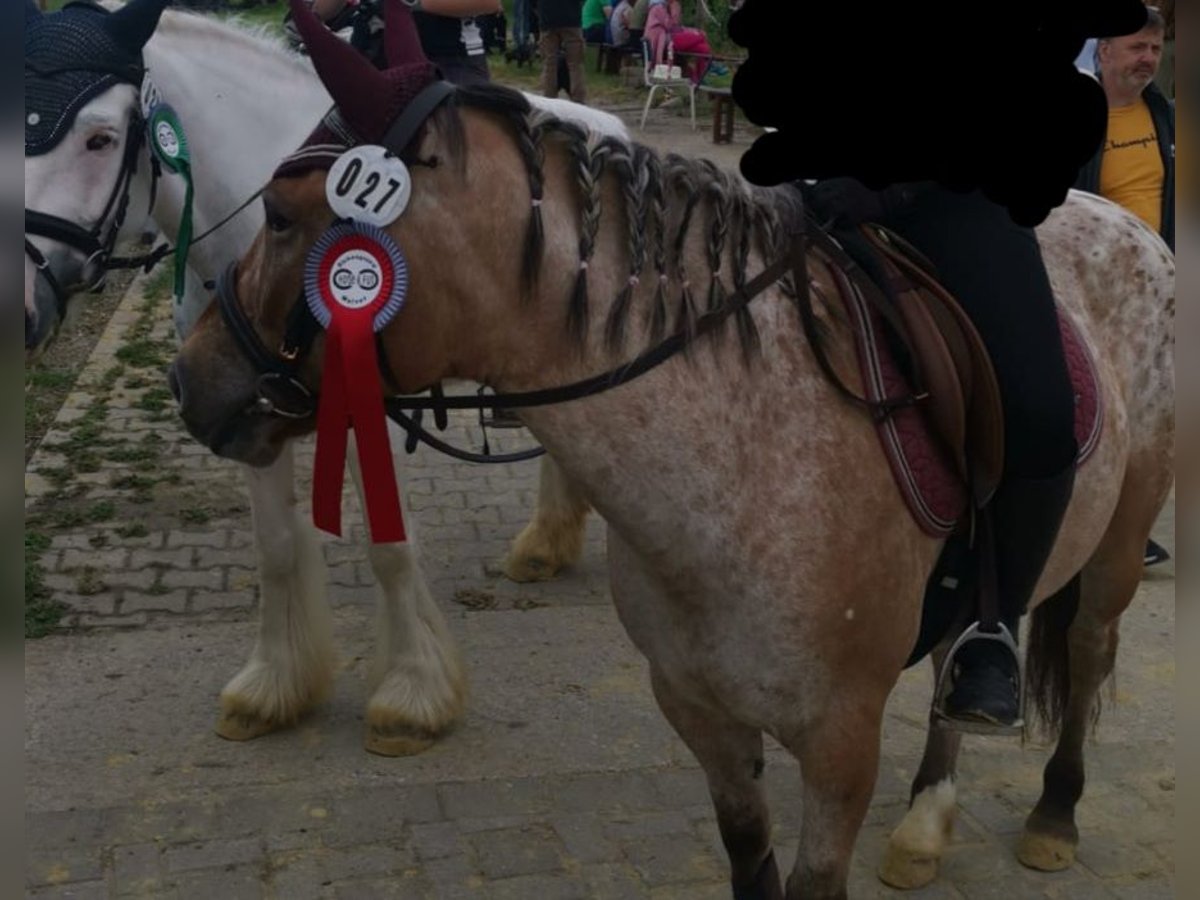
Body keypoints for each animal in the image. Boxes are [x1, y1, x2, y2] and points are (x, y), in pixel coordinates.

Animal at [24, 0, 624, 758]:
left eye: (99, 138)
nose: (17, 305)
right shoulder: (244, 413)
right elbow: (278, 547)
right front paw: (273, 687)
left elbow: (390, 547)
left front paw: (412, 696)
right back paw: (547, 545)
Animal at [169, 3, 1171, 897]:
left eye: (284, 214)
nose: (188, 378)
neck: (741, 461)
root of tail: (1122, 220)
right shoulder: (703, 718)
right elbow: (748, 865)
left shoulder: (840, 747)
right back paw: (925, 824)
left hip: (1118, 546)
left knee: (1088, 652)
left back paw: (1052, 815)